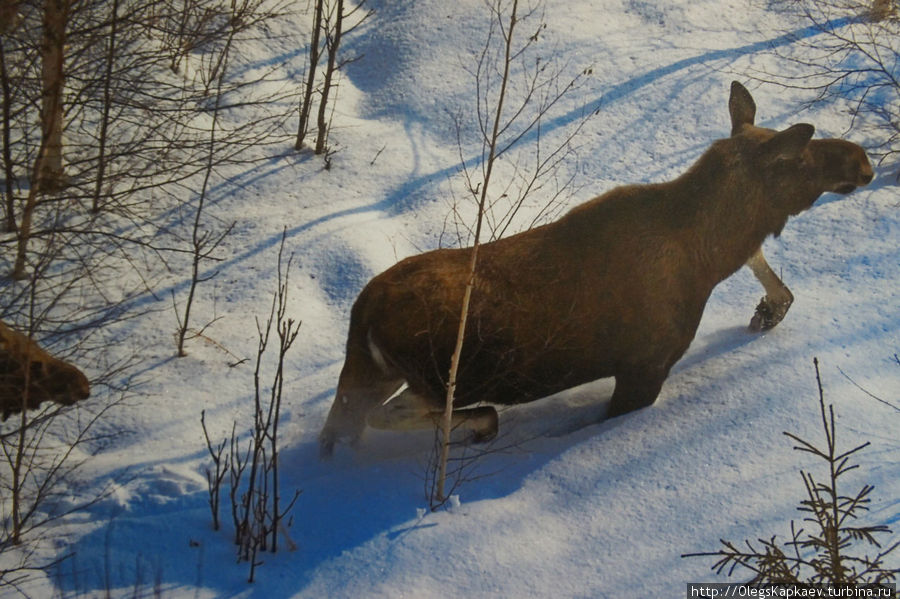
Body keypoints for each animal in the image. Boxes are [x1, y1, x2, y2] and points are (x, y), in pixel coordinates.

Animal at [318, 81, 872, 460]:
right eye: (801, 157)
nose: (861, 159)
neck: (707, 262)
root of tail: (363, 313)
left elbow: (762, 262)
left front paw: (769, 309)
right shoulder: (645, 366)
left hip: (371, 369)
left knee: (338, 428)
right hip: (438, 379)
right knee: (383, 417)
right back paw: (482, 424)